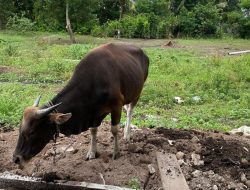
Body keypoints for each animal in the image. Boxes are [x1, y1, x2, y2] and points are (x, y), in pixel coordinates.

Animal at [12, 42, 148, 165]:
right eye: (19, 130)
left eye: (31, 133)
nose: (16, 159)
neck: (93, 82)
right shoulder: (94, 113)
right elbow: (93, 130)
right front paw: (92, 152)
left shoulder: (116, 106)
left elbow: (114, 130)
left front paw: (116, 152)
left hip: (137, 93)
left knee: (130, 111)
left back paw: (127, 134)